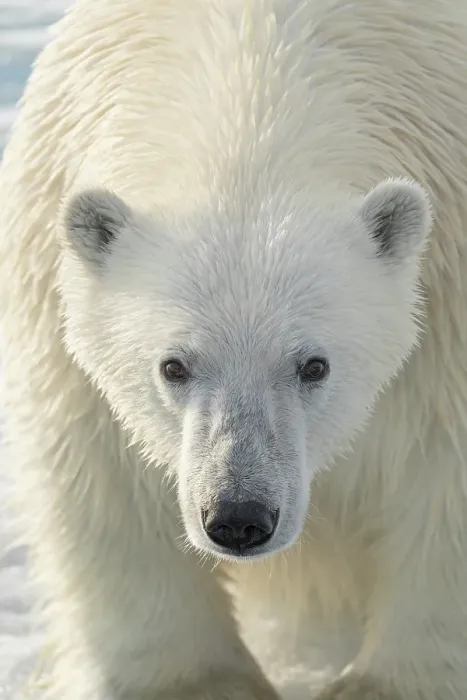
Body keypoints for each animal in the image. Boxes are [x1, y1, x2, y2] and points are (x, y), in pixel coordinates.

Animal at [1, 0, 467, 698]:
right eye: (173, 365)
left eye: (314, 365)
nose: (239, 517)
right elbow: (101, 478)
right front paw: (198, 681)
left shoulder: (447, 305)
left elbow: (444, 475)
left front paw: (387, 683)